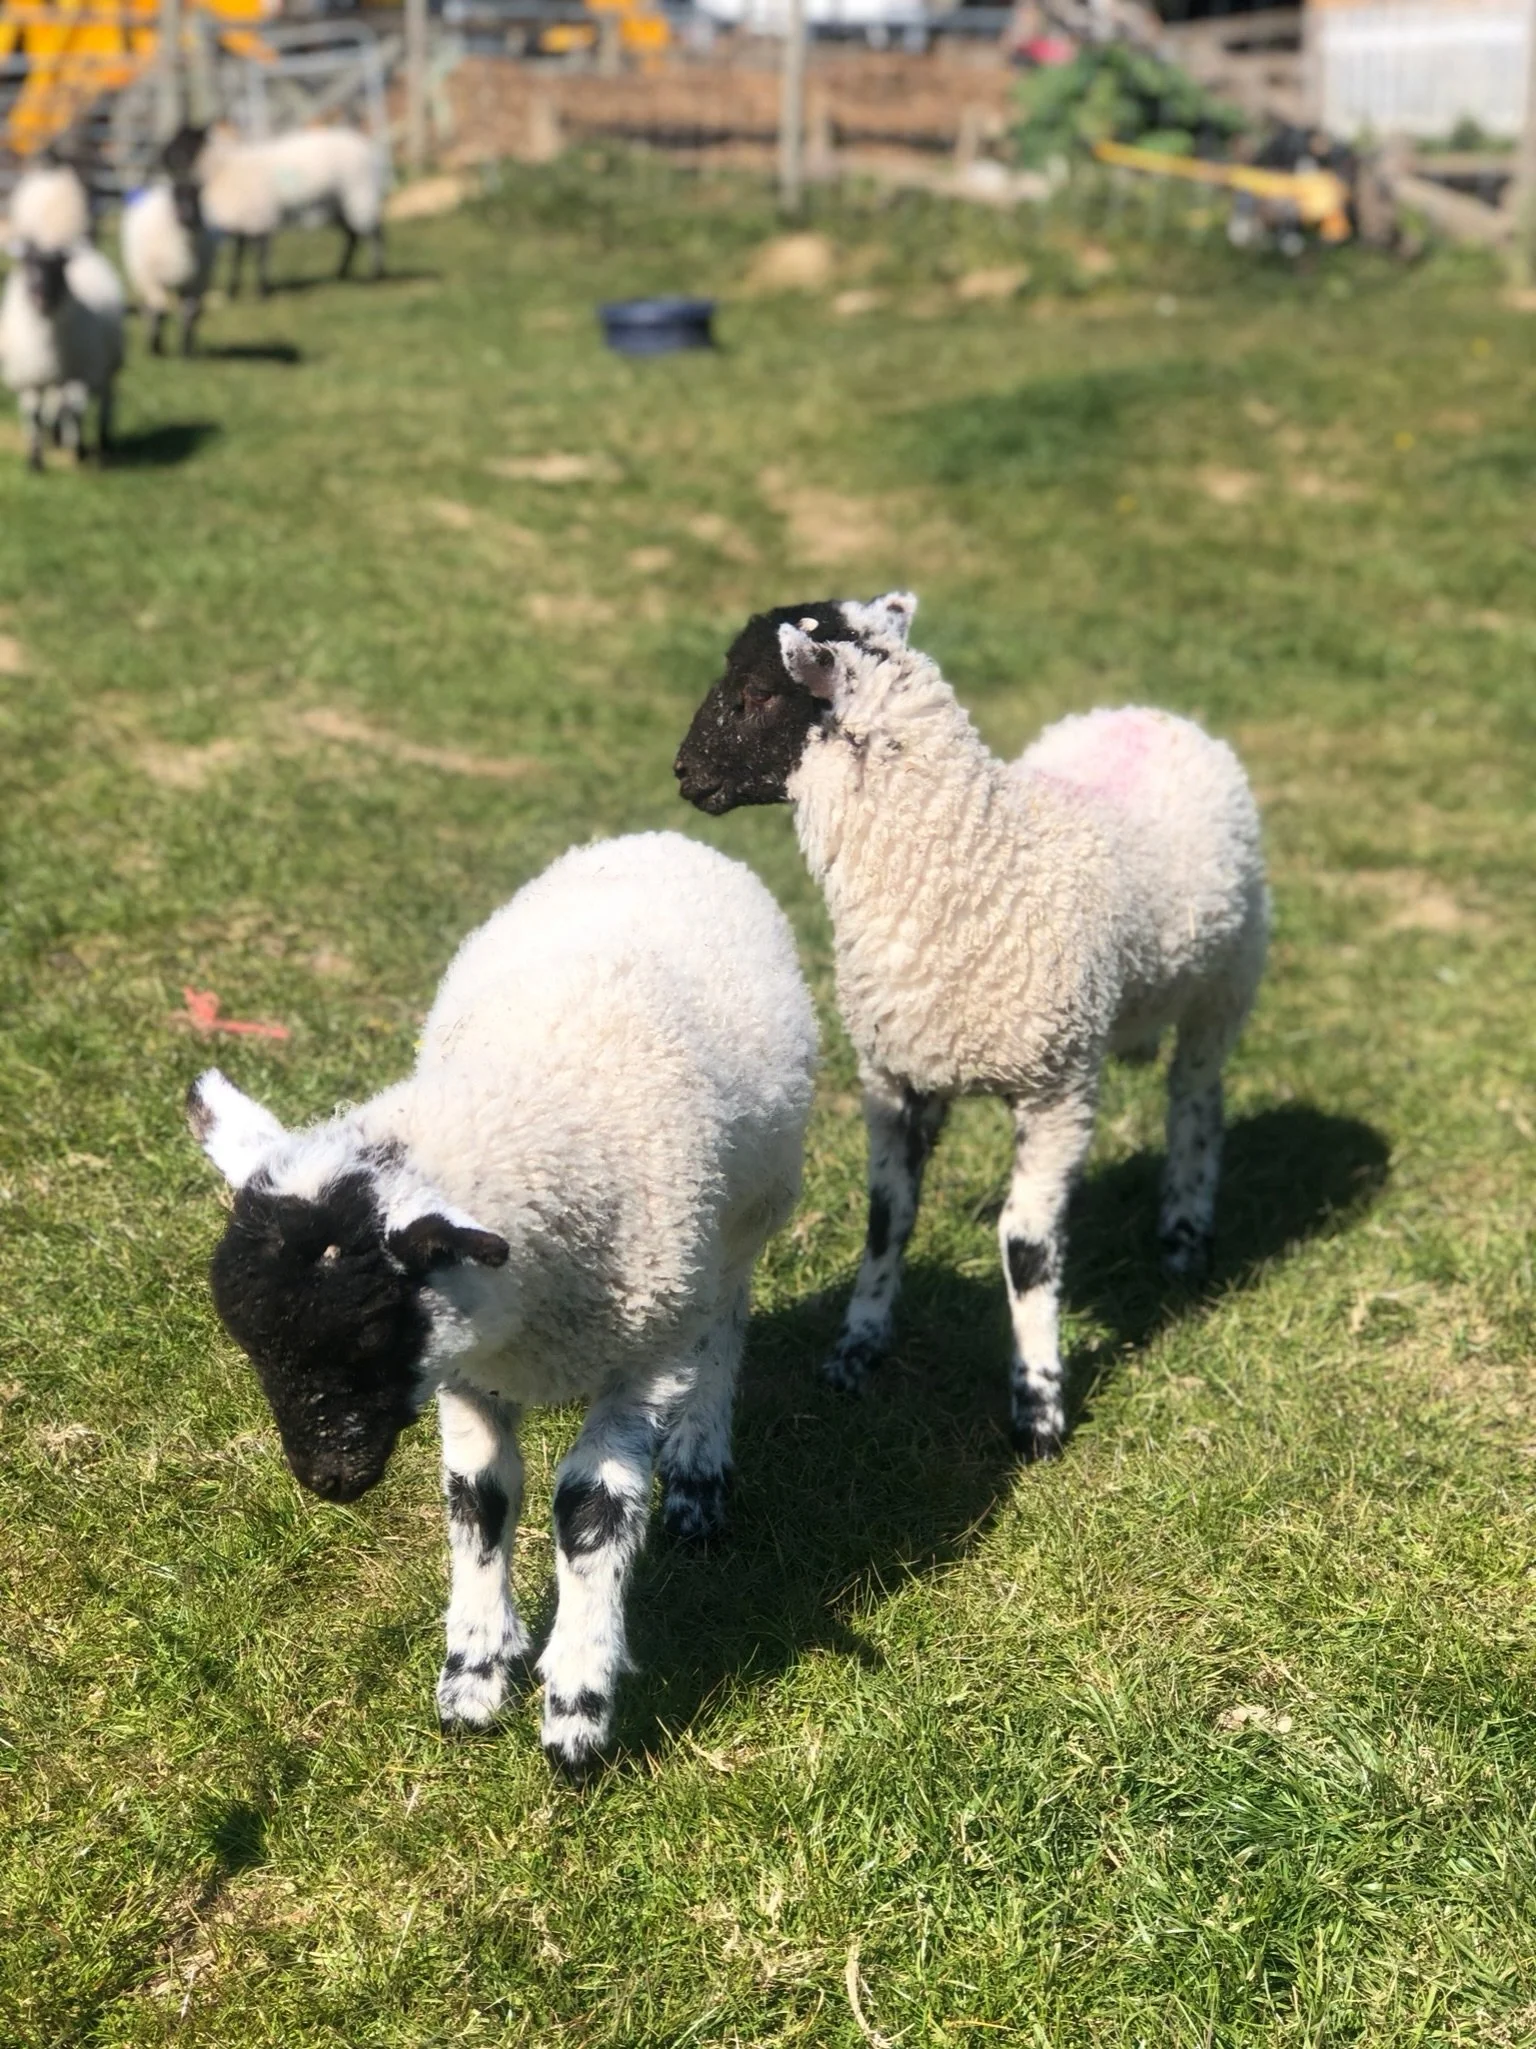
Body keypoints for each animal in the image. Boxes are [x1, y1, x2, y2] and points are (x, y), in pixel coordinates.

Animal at [0, 239, 125, 469]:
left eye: (58, 267)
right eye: (27, 262)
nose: (41, 295)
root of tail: (85, 249)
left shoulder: (80, 374)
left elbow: (76, 412)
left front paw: (80, 451)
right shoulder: (31, 378)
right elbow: (35, 417)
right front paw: (35, 460)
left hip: (106, 366)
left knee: (105, 401)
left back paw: (104, 443)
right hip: (59, 377)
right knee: (60, 405)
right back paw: (57, 436)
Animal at [121, 177, 215, 357]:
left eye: (196, 197)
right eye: (177, 197)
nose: (189, 217)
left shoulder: (195, 283)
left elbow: (189, 314)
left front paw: (185, 351)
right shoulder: (154, 281)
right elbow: (160, 312)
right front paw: (156, 346)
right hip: (145, 278)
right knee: (150, 307)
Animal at [185, 832, 817, 1775]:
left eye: (370, 1326)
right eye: (251, 1341)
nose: (329, 1478)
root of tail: (657, 836)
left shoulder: (643, 1353)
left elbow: (591, 1509)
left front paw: (577, 1708)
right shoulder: (465, 1369)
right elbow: (478, 1497)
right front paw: (474, 1676)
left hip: (734, 1231)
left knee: (724, 1326)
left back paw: (701, 1468)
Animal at [189, 123, 386, 298]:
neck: (224, 167)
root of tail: (364, 147)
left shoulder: (259, 219)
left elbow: (259, 256)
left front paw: (263, 292)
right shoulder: (244, 223)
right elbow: (238, 258)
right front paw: (233, 292)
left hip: (359, 194)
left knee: (374, 232)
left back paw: (375, 275)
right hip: (339, 206)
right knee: (352, 235)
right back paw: (342, 273)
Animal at [674, 595, 1269, 1460]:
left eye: (753, 694)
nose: (683, 773)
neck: (970, 862)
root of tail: (1146, 713)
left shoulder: (1058, 1088)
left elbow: (1026, 1248)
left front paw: (1039, 1403)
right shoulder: (894, 1075)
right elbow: (887, 1220)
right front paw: (856, 1350)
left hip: (1225, 981)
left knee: (1195, 1099)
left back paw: (1185, 1234)